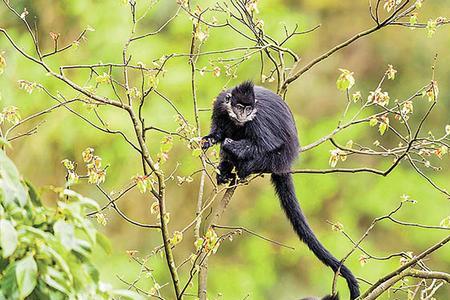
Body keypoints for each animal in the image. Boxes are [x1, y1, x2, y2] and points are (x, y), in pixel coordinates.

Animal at [202, 81, 360, 300]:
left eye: (248, 109)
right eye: (240, 107)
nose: (243, 114)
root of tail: (286, 163)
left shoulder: (257, 121)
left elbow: (266, 143)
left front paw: (230, 145)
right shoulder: (219, 105)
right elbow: (218, 130)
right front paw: (209, 140)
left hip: (274, 159)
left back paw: (241, 168)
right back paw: (226, 170)